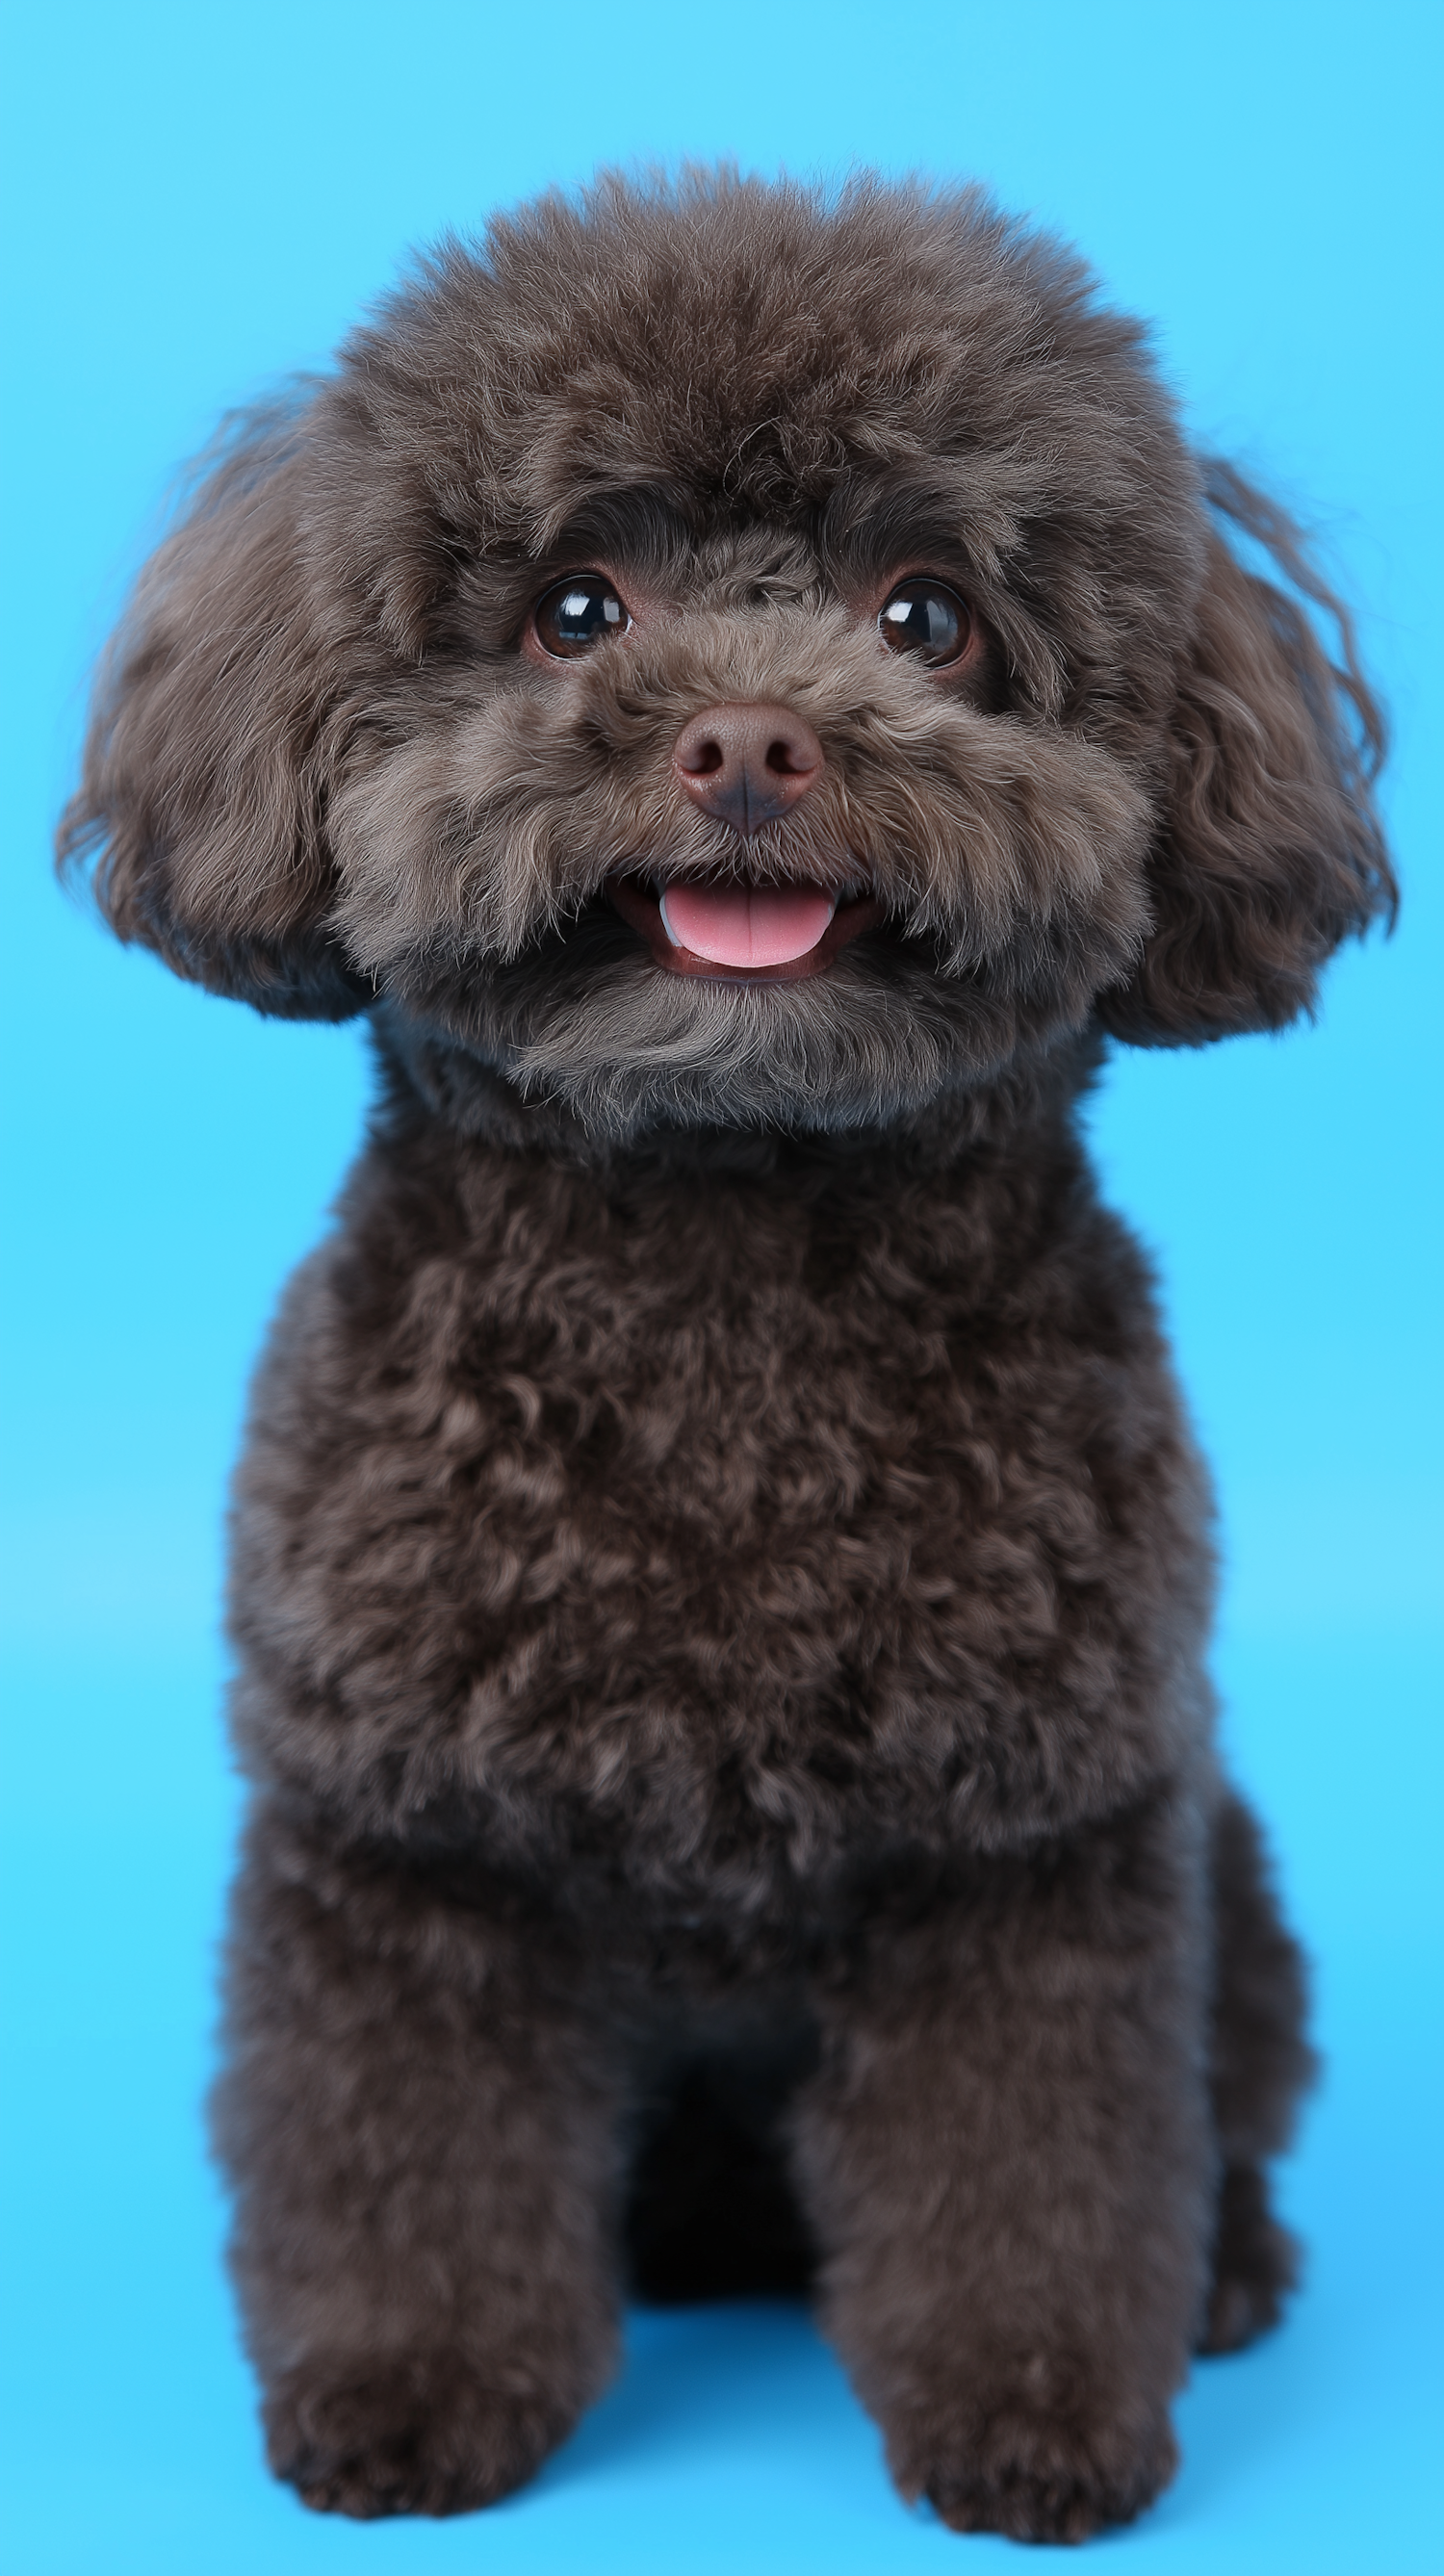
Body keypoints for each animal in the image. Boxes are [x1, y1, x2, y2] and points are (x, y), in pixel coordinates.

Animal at [62, 176, 1389, 2535]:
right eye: (577, 608)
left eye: (927, 615)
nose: (754, 740)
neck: (722, 1281)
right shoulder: (408, 1845)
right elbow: (404, 2149)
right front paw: (411, 2384)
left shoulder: (1030, 1856)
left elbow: (1037, 2167)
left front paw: (1039, 2410)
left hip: (1222, 1864)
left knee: (1227, 2100)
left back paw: (1228, 2273)